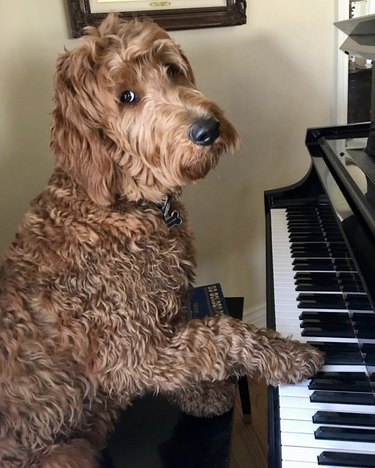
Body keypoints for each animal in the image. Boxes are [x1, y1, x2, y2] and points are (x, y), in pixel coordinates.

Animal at [0, 14, 324, 468]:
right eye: (127, 96)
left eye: (171, 70)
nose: (208, 129)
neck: (125, 204)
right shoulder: (130, 355)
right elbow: (221, 333)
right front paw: (289, 355)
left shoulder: (165, 322)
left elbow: (192, 355)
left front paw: (201, 396)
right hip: (64, 454)